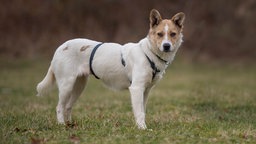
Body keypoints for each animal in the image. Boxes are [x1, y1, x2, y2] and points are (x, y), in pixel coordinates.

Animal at [36, 9, 184, 129]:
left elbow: (142, 110)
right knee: (59, 107)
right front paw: (142, 129)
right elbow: (139, 112)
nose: (166, 46)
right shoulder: (136, 89)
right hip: (66, 86)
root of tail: (60, 47)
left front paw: (141, 126)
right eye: (159, 34)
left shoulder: (146, 90)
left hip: (79, 86)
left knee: (67, 106)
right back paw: (62, 125)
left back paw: (70, 125)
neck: (148, 53)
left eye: (173, 34)